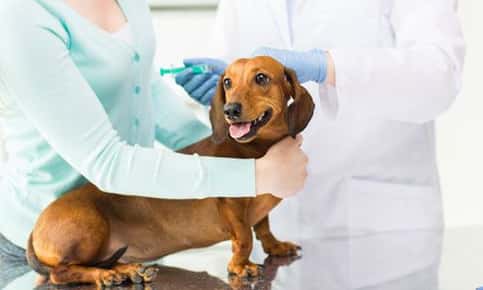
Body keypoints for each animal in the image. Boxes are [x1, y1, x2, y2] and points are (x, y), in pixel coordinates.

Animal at [26, 56, 316, 288]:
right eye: (227, 82)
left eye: (261, 77)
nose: (230, 110)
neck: (255, 146)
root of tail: (35, 227)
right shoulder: (232, 206)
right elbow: (244, 237)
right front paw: (240, 266)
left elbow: (263, 226)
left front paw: (275, 246)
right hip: (90, 228)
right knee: (61, 272)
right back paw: (106, 276)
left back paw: (128, 270)